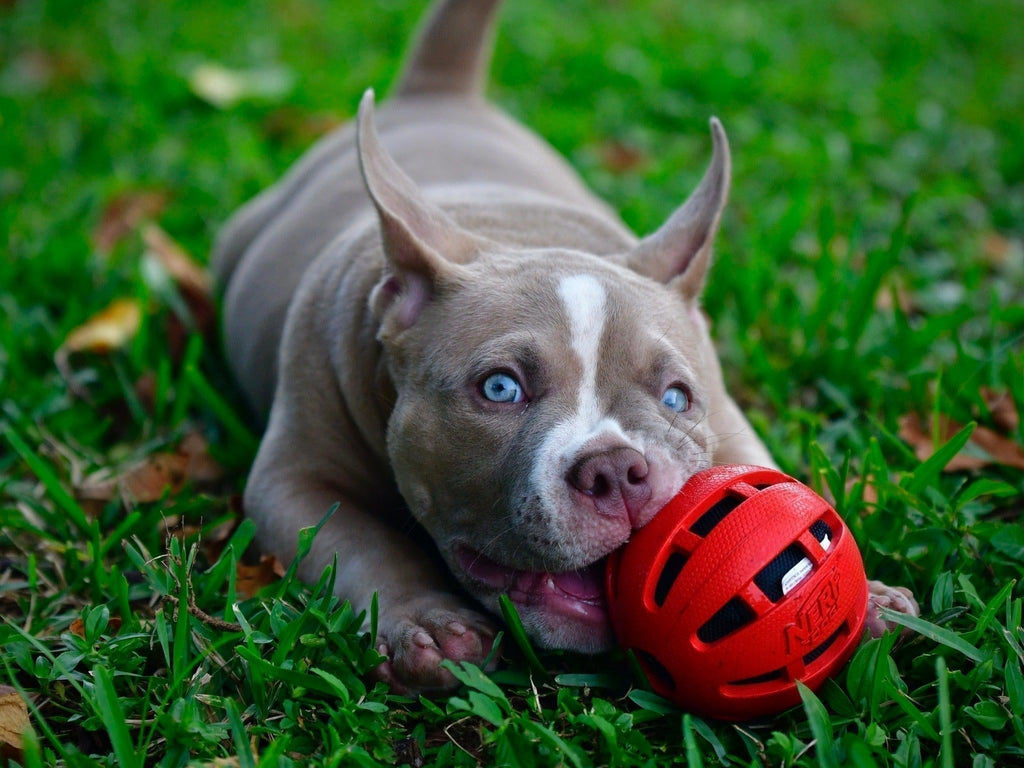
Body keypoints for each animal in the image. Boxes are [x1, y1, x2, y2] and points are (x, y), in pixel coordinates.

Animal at [214, 0, 921, 692]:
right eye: (500, 388)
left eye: (676, 397)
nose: (617, 471)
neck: (513, 232)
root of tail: (438, 92)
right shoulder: (293, 481)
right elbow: (361, 543)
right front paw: (427, 623)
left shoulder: (726, 416)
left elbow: (761, 477)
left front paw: (870, 598)